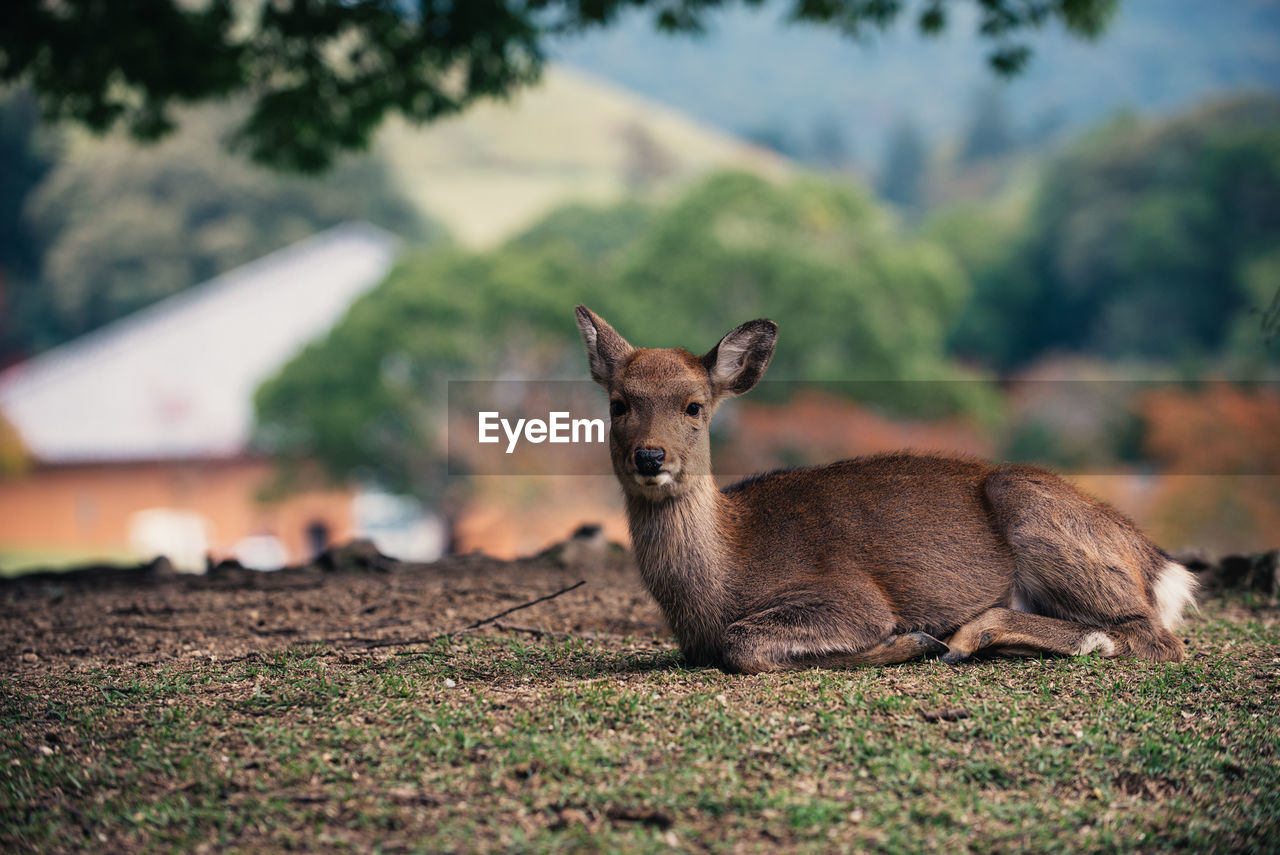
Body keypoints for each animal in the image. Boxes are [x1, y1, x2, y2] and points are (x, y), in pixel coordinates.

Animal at [578, 303, 1198, 670]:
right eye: (619, 403)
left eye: (695, 406)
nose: (650, 455)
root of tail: (1162, 565)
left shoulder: (848, 595)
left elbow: (744, 644)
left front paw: (909, 641)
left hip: (1032, 508)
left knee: (1150, 634)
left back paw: (966, 638)